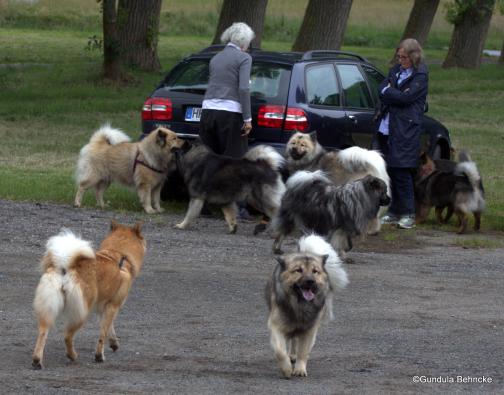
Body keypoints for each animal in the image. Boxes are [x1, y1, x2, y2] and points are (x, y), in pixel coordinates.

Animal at [31, 221, 146, 370]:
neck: (118, 254)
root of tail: (66, 267)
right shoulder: (113, 305)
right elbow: (103, 334)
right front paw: (99, 356)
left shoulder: (104, 308)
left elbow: (110, 328)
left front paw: (114, 343)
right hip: (82, 313)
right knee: (67, 335)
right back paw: (72, 355)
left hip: (48, 309)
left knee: (43, 332)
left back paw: (37, 360)